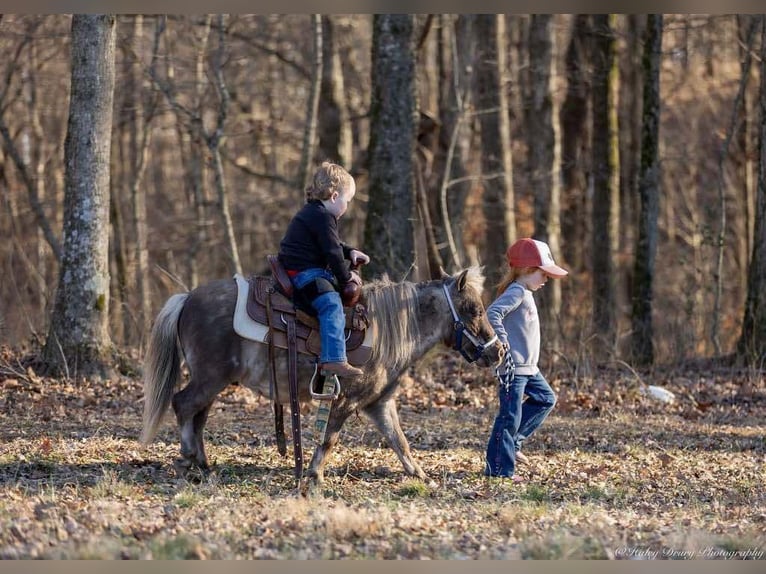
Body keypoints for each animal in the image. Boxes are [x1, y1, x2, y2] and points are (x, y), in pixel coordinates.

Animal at [142, 266, 508, 486]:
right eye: (474, 310)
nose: (499, 352)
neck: (390, 328)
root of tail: (187, 298)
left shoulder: (379, 403)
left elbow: (398, 440)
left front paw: (420, 475)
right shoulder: (346, 399)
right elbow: (330, 438)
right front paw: (314, 475)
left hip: (213, 380)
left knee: (198, 415)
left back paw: (203, 464)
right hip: (209, 377)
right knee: (183, 404)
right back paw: (189, 458)